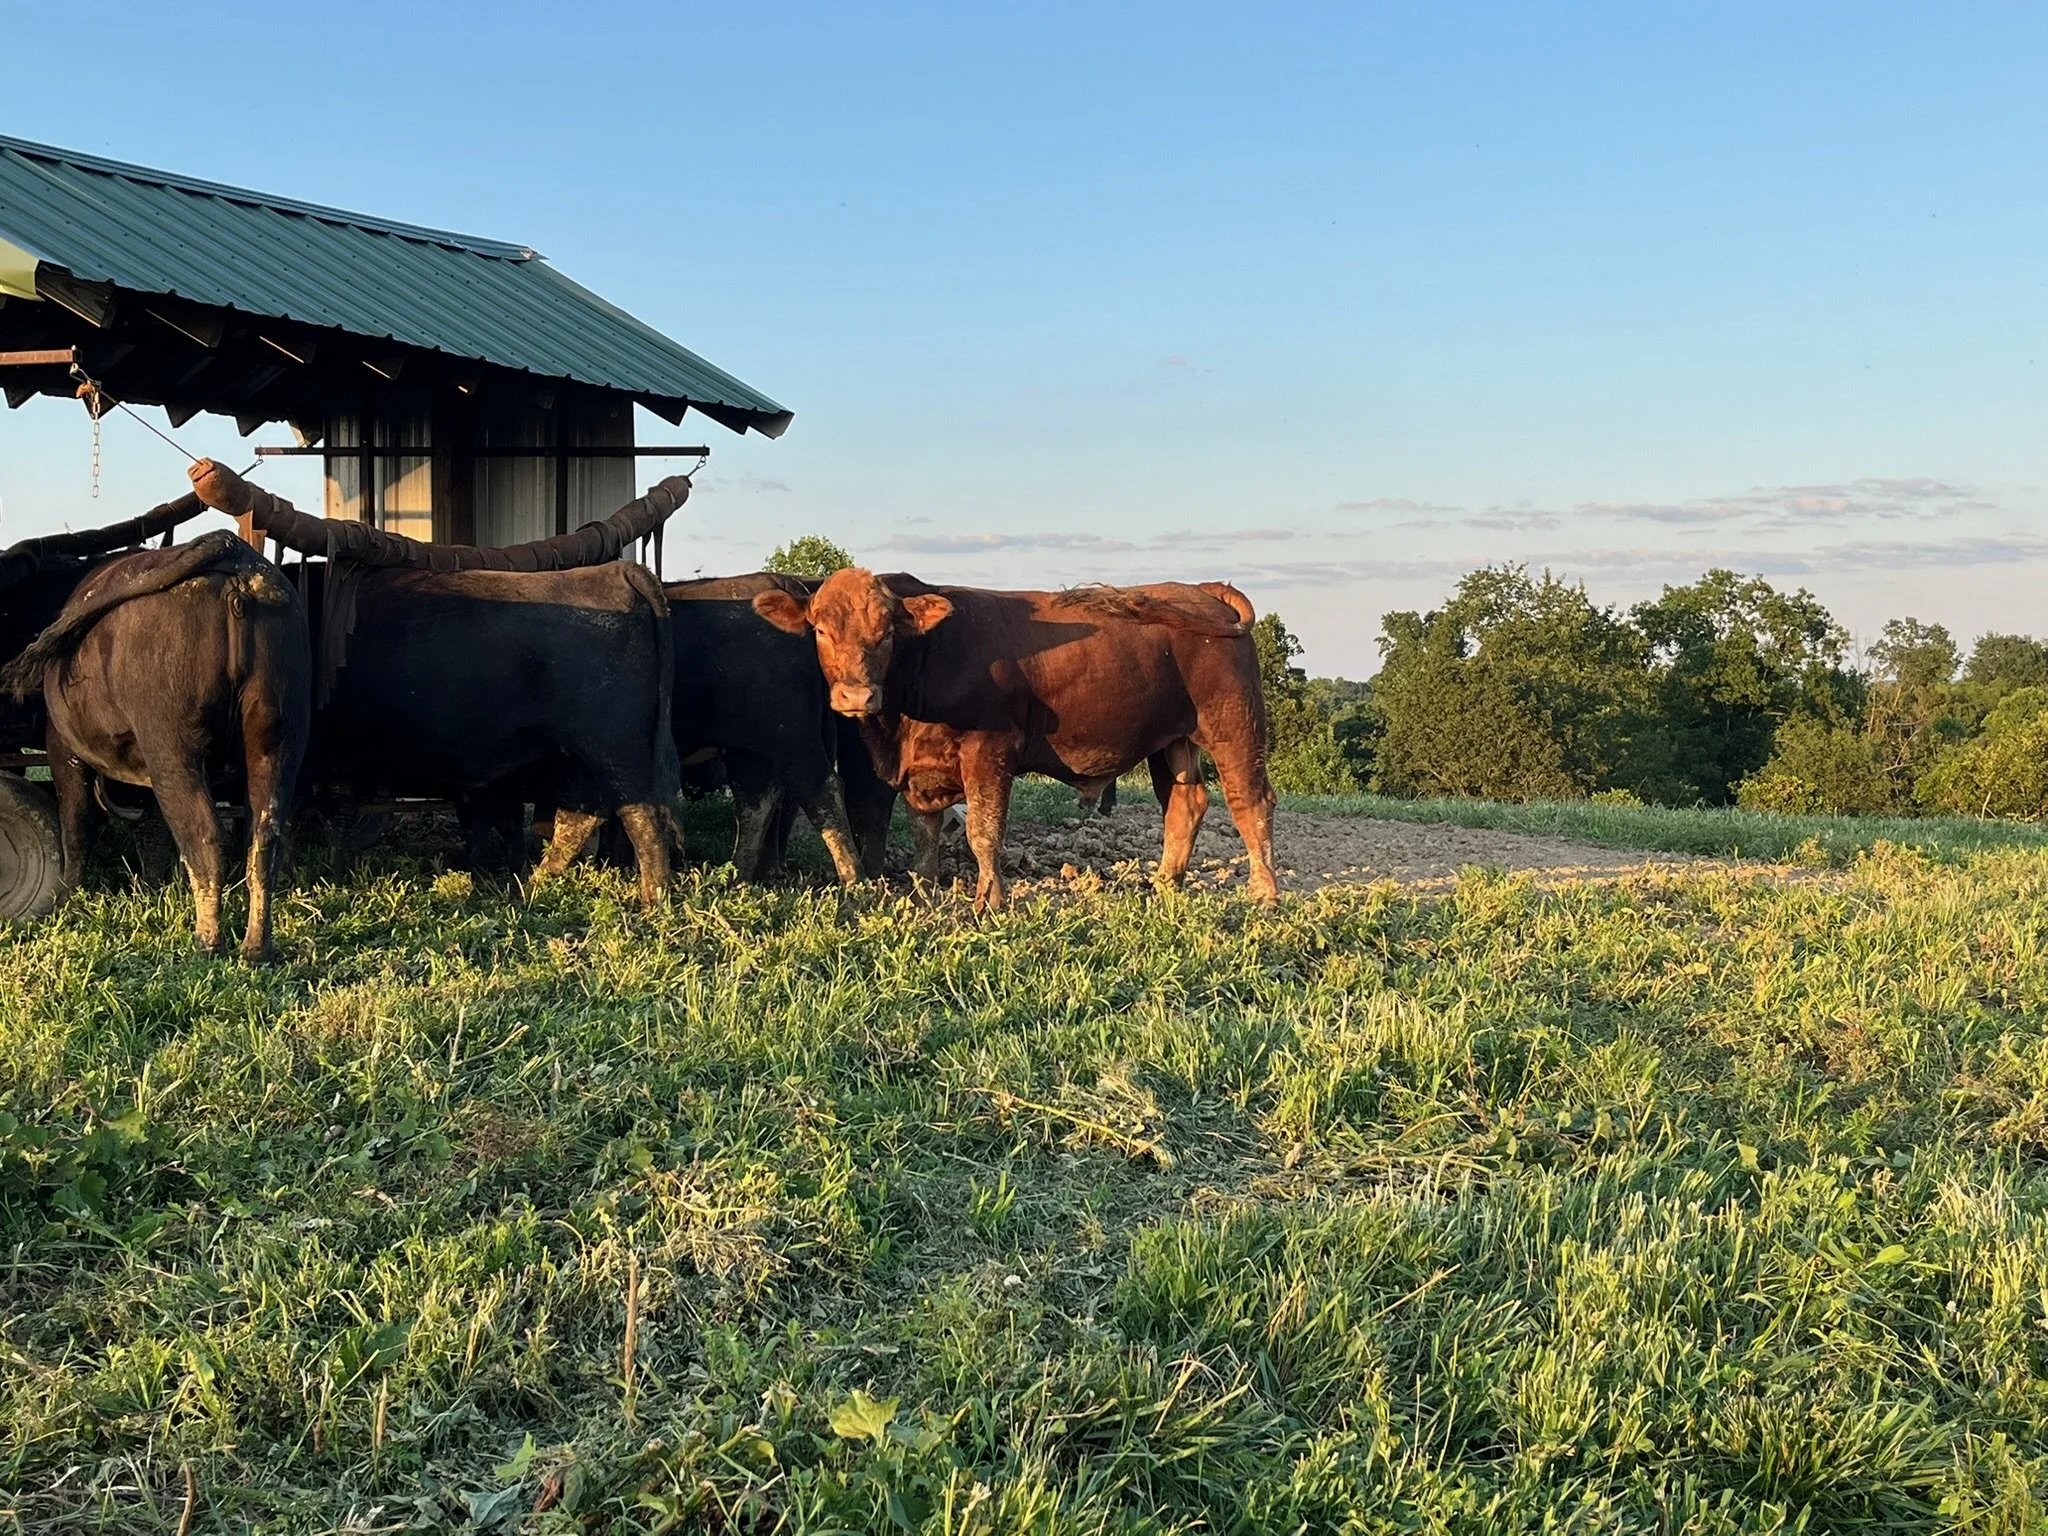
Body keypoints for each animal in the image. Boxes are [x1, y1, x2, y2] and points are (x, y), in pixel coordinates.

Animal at [1, 532, 311, 959]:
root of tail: (235, 556)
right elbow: (154, 832)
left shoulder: (63, 749)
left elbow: (76, 827)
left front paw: (66, 902)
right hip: (277, 738)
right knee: (264, 838)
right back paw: (255, 948)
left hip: (173, 748)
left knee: (204, 833)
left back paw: (207, 941)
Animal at [751, 570, 1279, 909]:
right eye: (820, 629)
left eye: (886, 633)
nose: (856, 694)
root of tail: (1200, 590)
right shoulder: (923, 773)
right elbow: (925, 833)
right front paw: (924, 892)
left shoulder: (990, 750)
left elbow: (984, 832)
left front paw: (990, 900)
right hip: (1171, 742)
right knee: (1185, 804)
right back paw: (1166, 884)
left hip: (1233, 725)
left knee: (1250, 802)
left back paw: (1264, 894)